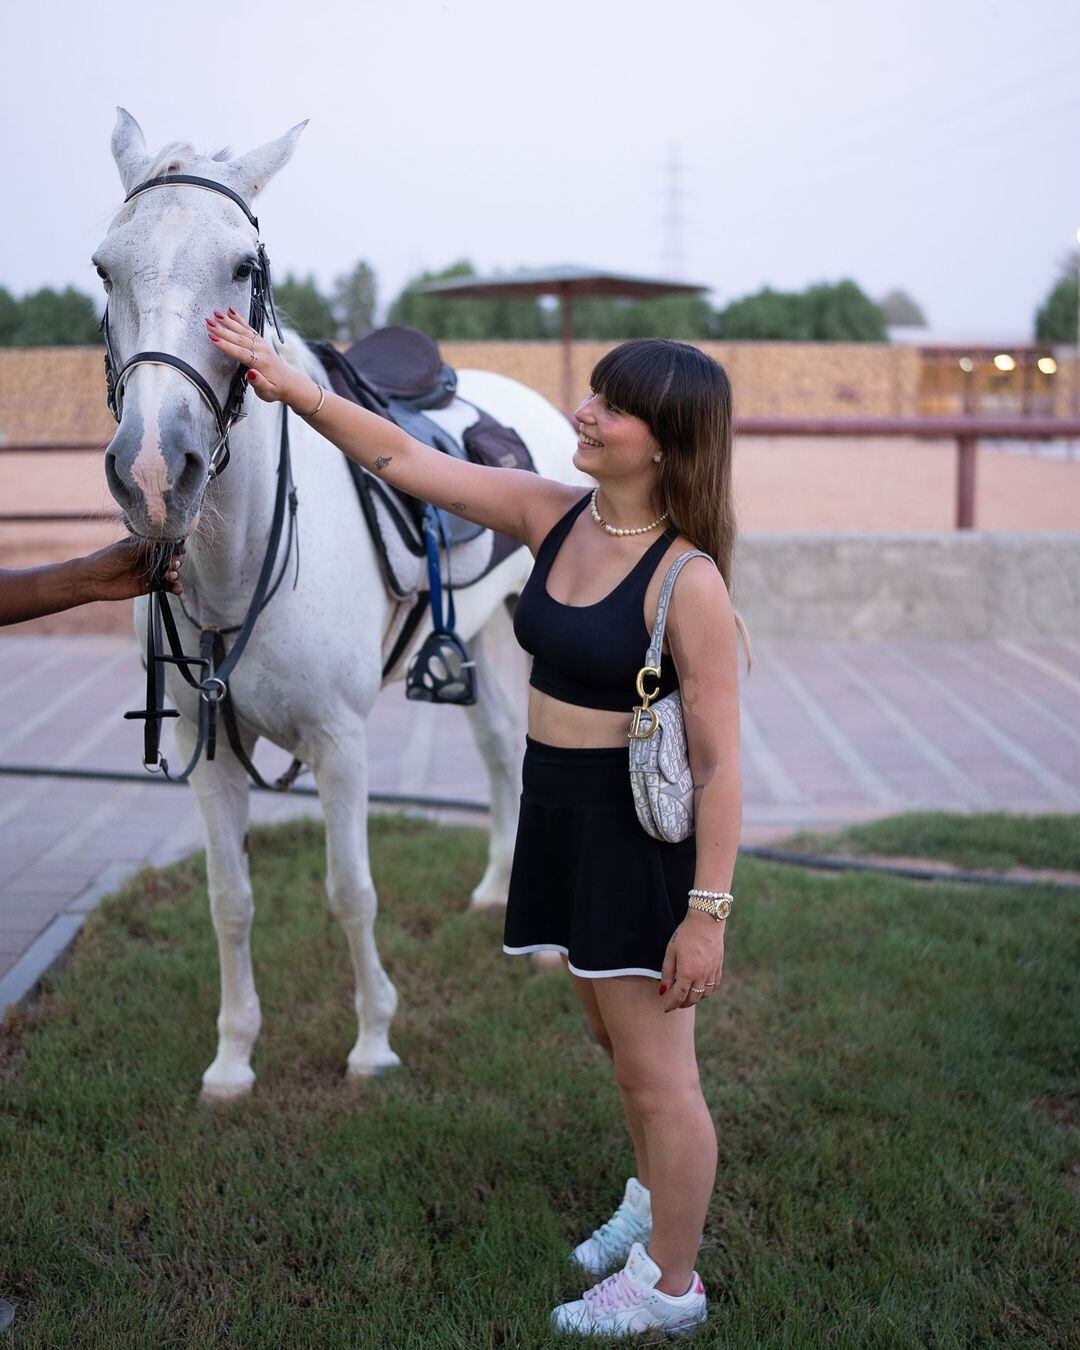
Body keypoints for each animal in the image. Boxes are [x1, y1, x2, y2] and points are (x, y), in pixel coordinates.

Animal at [99, 110, 585, 1101]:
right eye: (103, 269)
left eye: (244, 265)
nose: (154, 471)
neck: (241, 563)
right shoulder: (205, 749)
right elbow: (229, 899)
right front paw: (234, 1058)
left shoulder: (341, 742)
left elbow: (351, 892)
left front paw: (373, 1042)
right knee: (497, 750)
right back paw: (493, 893)